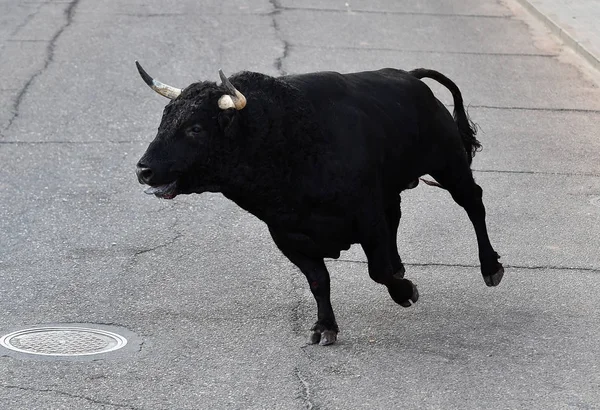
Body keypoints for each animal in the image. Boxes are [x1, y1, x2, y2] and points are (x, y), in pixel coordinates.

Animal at [135, 65, 502, 346]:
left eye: (195, 128)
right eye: (164, 121)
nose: (143, 170)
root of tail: (409, 77)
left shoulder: (366, 219)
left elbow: (376, 270)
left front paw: (406, 292)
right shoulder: (287, 234)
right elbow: (318, 281)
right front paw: (325, 327)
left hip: (450, 164)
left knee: (473, 203)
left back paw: (490, 268)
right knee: (396, 211)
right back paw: (402, 265)